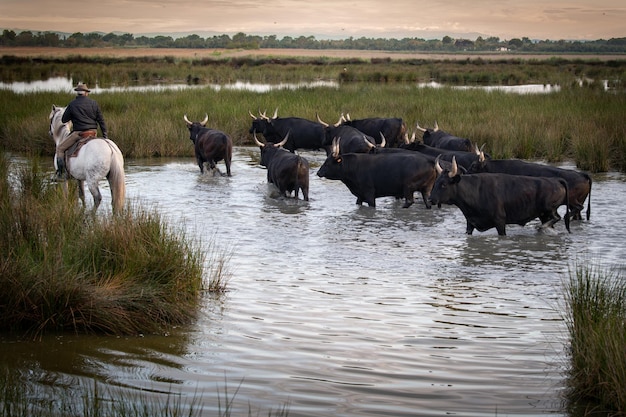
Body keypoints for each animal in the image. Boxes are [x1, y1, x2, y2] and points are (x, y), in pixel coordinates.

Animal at [428, 156, 564, 234]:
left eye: (444, 184)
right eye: (436, 182)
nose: (430, 199)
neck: (474, 191)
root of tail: (556, 181)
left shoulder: (500, 222)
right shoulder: (470, 224)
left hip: (549, 209)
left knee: (557, 217)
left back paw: (542, 227)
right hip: (543, 214)